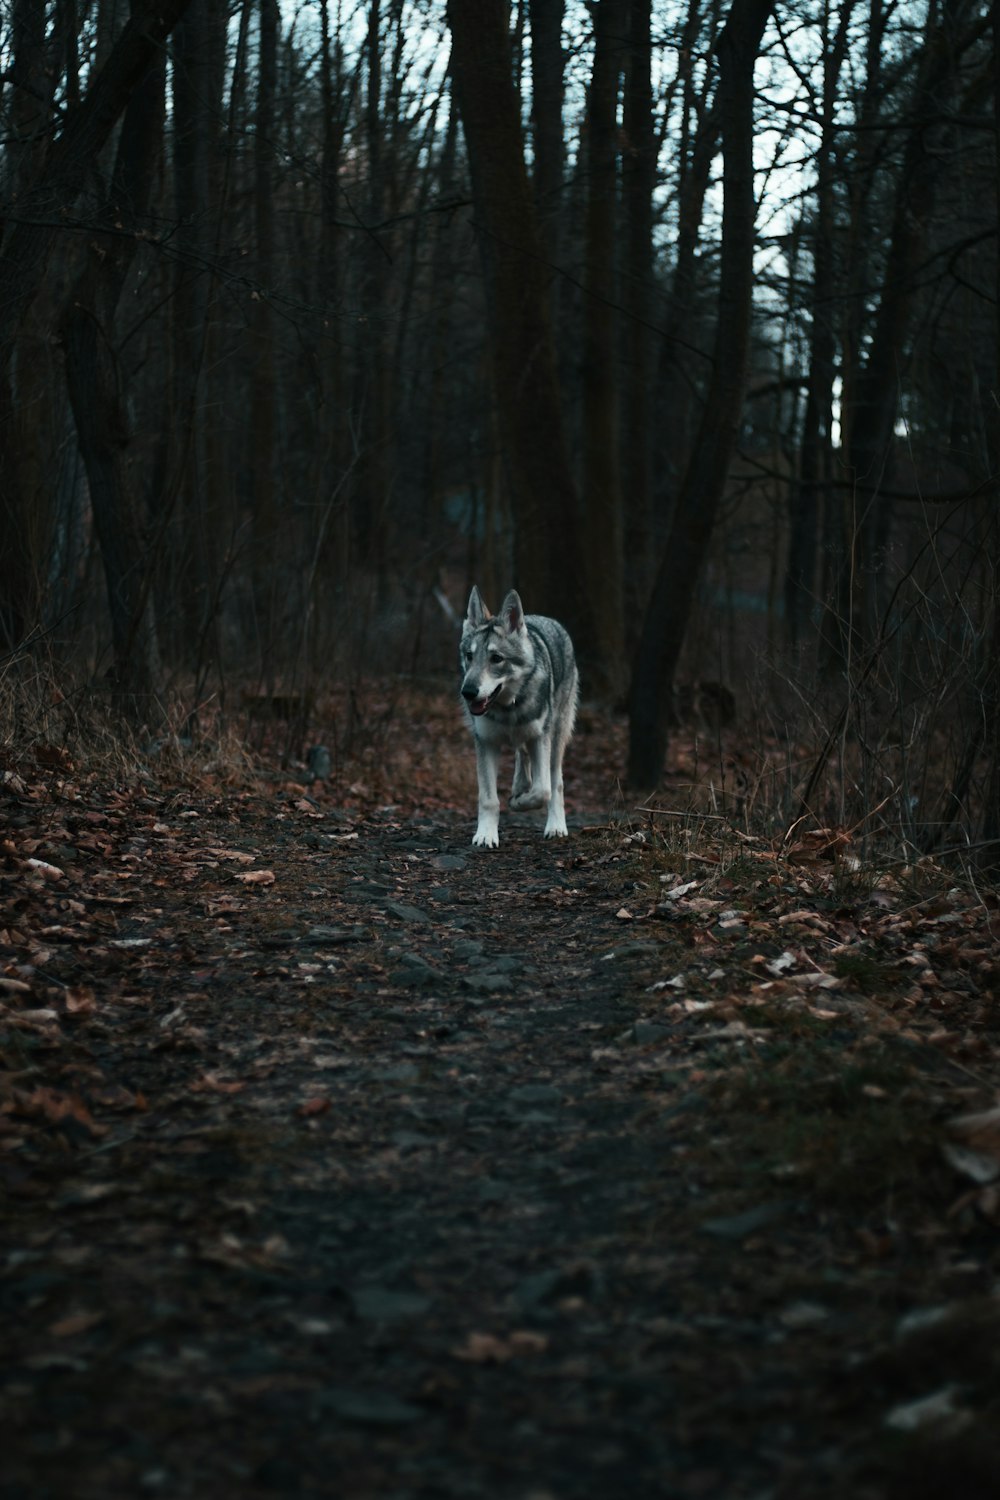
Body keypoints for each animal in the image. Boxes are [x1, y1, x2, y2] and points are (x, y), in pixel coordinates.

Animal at [458, 582, 578, 846]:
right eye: (469, 656)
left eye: (496, 658)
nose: (468, 692)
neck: (507, 707)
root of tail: (545, 619)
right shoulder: (486, 743)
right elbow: (488, 799)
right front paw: (486, 835)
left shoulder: (540, 738)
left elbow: (543, 791)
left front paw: (519, 802)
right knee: (521, 755)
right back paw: (520, 785)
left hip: (556, 736)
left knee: (556, 782)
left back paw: (555, 825)